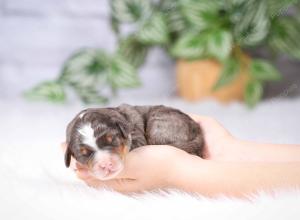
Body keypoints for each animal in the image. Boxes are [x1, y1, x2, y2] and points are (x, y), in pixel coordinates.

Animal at [63, 105, 204, 180]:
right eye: (85, 154)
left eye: (112, 139)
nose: (106, 164)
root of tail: (197, 128)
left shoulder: (137, 135)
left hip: (158, 126)